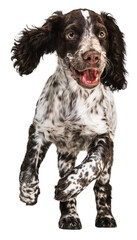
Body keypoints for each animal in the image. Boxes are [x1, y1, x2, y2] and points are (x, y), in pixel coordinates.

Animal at [11, 8, 127, 229]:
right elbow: (28, 162)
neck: (76, 95)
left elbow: (92, 164)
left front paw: (69, 185)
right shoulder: (39, 129)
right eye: (71, 34)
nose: (93, 56)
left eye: (102, 34)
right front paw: (28, 191)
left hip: (105, 164)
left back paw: (105, 216)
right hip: (65, 155)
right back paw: (69, 217)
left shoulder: (104, 137)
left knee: (102, 186)